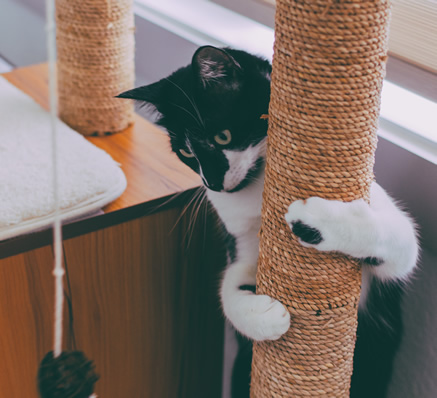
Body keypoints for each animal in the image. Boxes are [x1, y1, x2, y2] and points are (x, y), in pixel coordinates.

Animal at [117, 47, 418, 398]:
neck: (255, 192)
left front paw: (316, 221)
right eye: (185, 153)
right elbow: (228, 287)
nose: (212, 184)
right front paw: (266, 318)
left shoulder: (389, 246)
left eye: (223, 136)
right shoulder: (243, 247)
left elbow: (399, 242)